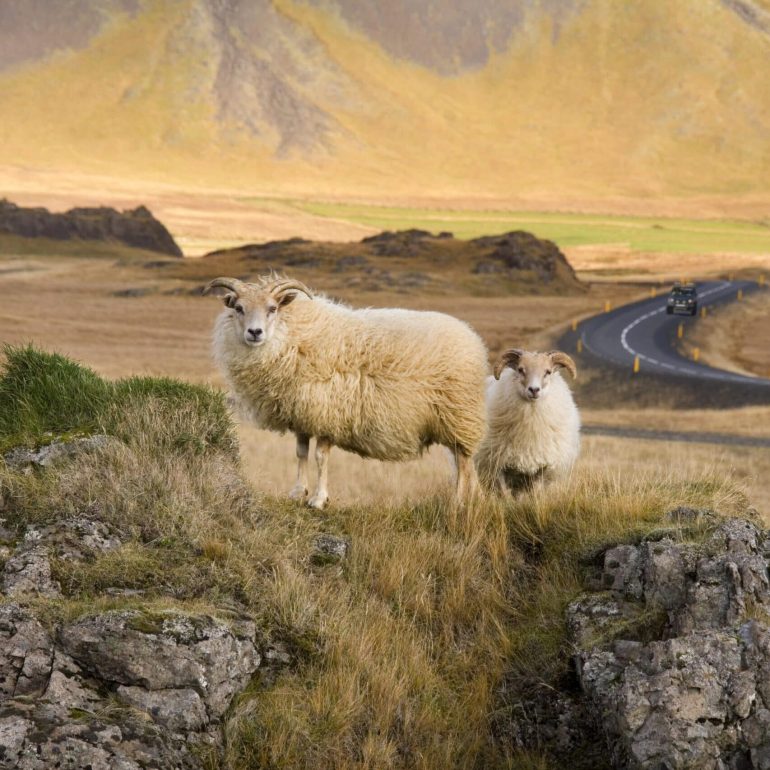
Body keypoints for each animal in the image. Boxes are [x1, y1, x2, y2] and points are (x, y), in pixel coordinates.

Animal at [203, 274, 488, 508]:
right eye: (239, 308)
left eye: (272, 308)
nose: (255, 332)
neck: (293, 336)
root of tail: (472, 337)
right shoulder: (303, 413)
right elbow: (301, 453)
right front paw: (298, 492)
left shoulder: (329, 413)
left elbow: (321, 457)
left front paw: (319, 499)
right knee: (464, 463)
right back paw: (473, 499)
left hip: (460, 415)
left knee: (464, 463)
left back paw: (459, 503)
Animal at [475, 349, 580, 495]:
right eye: (520, 369)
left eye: (548, 372)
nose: (534, 389)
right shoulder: (498, 464)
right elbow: (503, 494)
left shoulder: (542, 467)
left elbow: (536, 492)